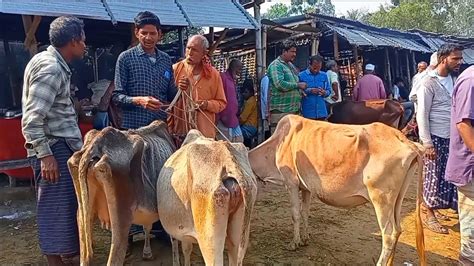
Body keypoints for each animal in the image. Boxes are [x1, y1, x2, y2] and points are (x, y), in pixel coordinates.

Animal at [248, 115, 426, 266]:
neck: (278, 144)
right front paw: (305, 238)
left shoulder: (291, 183)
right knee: (397, 230)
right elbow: (305, 212)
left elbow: (295, 214)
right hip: (397, 199)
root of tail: (405, 140)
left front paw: (294, 243)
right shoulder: (306, 188)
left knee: (388, 235)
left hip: (381, 199)